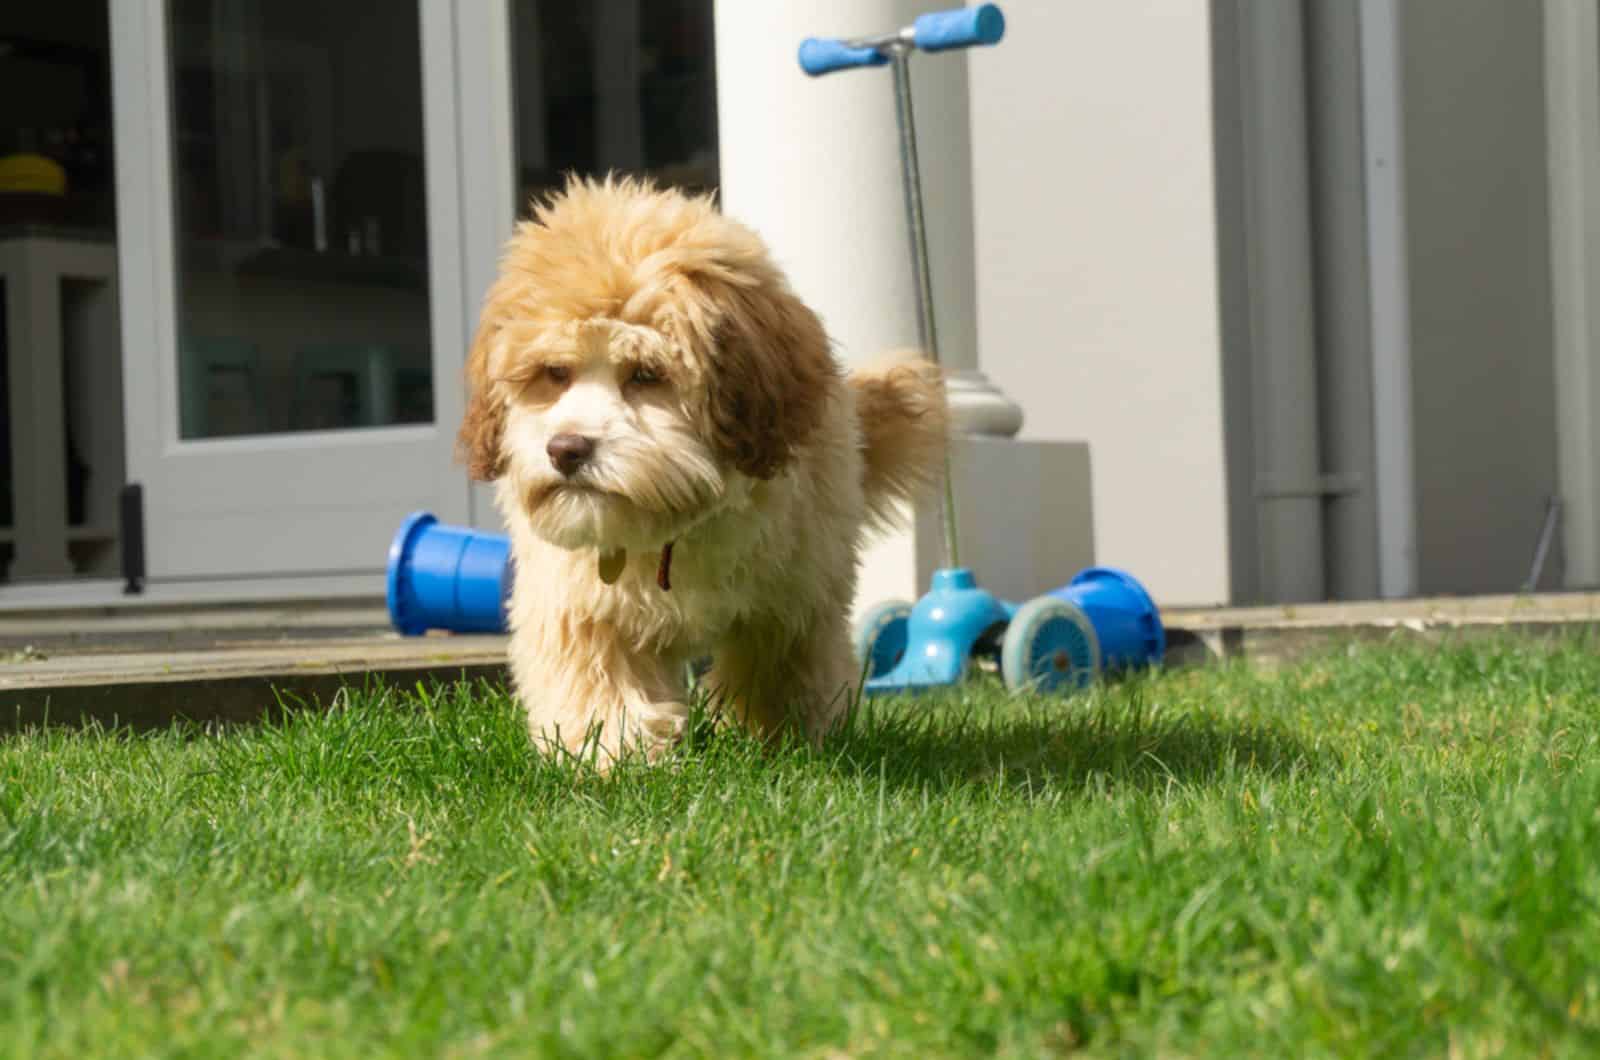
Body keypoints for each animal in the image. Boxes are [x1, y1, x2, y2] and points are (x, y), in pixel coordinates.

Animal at [457, 178, 940, 768]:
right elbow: (600, 681)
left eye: (646, 374)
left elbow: (781, 666)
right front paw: (615, 753)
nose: (566, 450)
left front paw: (791, 740)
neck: (674, 521)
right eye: (555, 372)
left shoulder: (795, 596)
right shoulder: (580, 601)